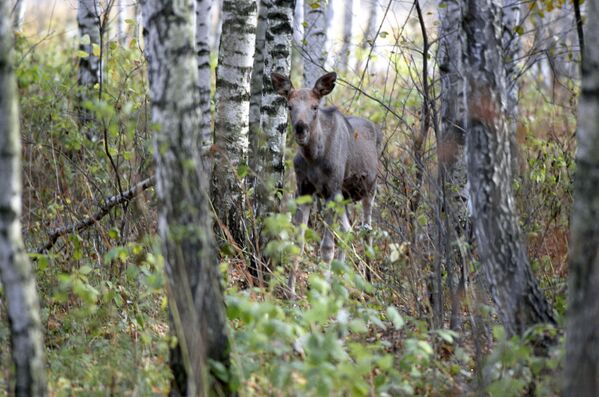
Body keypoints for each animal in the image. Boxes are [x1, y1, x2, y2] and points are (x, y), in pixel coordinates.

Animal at [274, 71, 384, 294]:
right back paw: (338, 278)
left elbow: (326, 247)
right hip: (343, 196)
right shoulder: (305, 189)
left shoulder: (332, 189)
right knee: (347, 229)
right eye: (289, 106)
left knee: (367, 230)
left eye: (315, 107)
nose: (300, 128)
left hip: (370, 188)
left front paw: (321, 292)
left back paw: (367, 281)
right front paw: (290, 292)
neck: (314, 156)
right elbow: (298, 241)